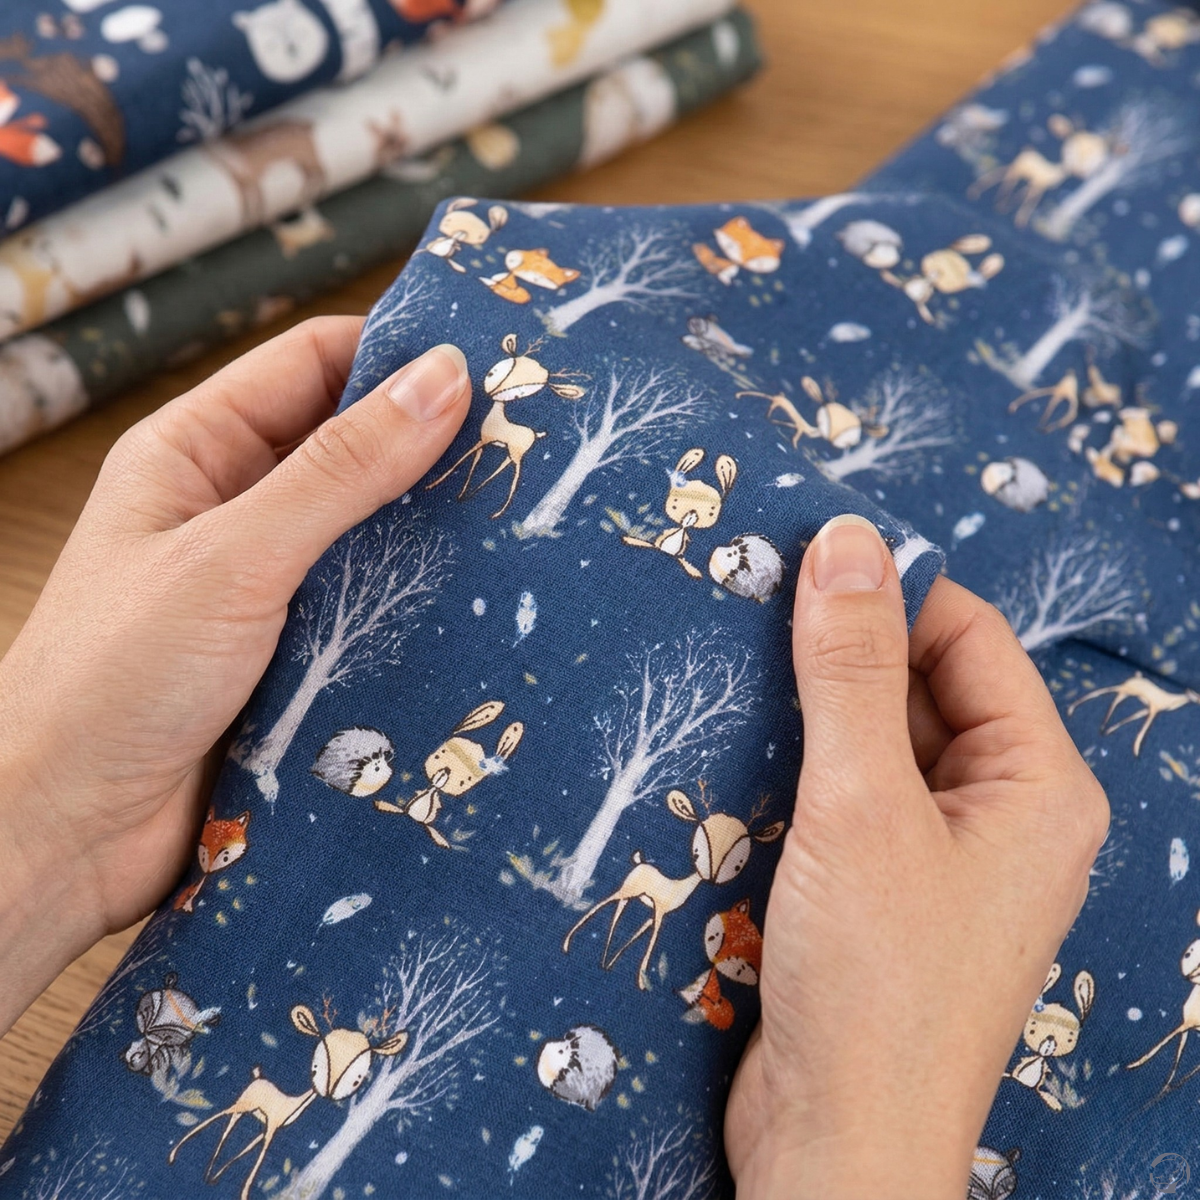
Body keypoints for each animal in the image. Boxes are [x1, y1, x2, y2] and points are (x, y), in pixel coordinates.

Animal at [168, 1002, 408, 1200]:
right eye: (317, 1066)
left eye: (357, 1079)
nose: (328, 1091)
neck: (291, 1105)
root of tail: (258, 1077)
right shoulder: (272, 1125)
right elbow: (261, 1153)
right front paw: (244, 1192)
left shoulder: (271, 1127)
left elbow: (250, 1148)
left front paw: (218, 1177)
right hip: (243, 1104)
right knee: (219, 1117)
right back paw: (174, 1156)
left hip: (247, 1110)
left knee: (227, 1127)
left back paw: (208, 1171)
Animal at [426, 333, 585, 518]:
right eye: (492, 373)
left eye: (517, 395)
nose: (492, 392)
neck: (496, 418)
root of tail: (535, 434)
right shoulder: (482, 440)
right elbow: (474, 461)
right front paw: (461, 493)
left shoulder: (485, 440)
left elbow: (463, 459)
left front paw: (434, 484)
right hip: (510, 452)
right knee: (503, 467)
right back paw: (475, 495)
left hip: (517, 454)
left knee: (516, 477)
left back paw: (498, 512)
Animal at [562, 787, 784, 991]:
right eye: (697, 852)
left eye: (738, 864)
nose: (712, 877)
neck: (679, 887)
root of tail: (640, 863)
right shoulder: (660, 910)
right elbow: (652, 940)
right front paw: (641, 981)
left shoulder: (658, 912)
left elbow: (640, 933)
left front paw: (611, 965)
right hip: (626, 890)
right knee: (601, 904)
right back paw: (567, 943)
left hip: (631, 895)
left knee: (616, 911)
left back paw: (600, 957)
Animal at [1067, 672, 1200, 757]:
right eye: (1197, 696)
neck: (1169, 701)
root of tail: (1136, 676)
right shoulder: (1153, 708)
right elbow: (1144, 728)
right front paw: (1136, 750)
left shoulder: (1148, 709)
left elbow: (1134, 717)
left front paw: (1109, 731)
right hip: (1126, 689)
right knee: (1104, 693)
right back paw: (1071, 709)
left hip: (1126, 692)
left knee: (1114, 700)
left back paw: (1102, 727)